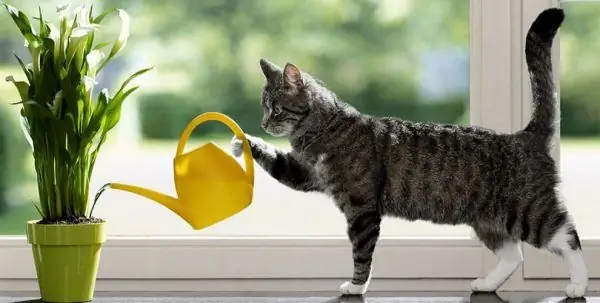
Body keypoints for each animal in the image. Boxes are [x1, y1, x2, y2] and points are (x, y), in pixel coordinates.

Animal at [232, 7, 588, 300]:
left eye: (276, 109)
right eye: (264, 107)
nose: (263, 122)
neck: (325, 127)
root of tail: (524, 136)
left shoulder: (362, 209)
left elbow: (362, 253)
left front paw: (356, 287)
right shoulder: (304, 173)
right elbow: (277, 162)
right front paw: (242, 141)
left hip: (529, 211)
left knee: (568, 238)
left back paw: (578, 285)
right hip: (489, 221)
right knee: (514, 255)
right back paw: (485, 284)